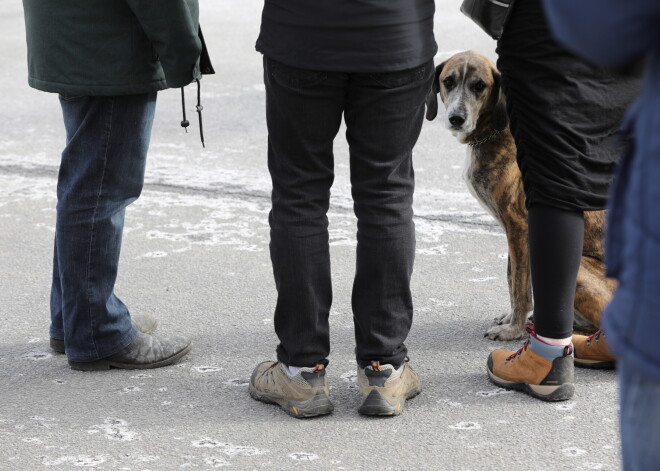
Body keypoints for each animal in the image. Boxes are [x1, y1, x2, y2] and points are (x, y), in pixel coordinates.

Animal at [426, 50, 616, 340]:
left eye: (479, 86)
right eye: (448, 81)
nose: (456, 118)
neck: (493, 129)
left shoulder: (518, 227)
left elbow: (519, 284)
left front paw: (512, 330)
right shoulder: (513, 233)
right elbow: (512, 278)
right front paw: (511, 319)